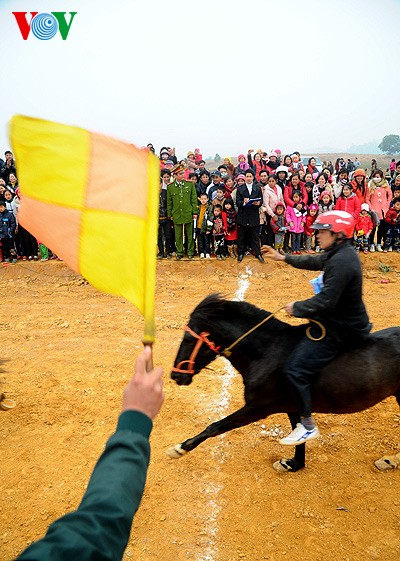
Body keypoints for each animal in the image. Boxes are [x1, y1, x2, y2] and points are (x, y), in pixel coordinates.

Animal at [167, 296, 400, 470]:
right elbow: (300, 433)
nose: (175, 376)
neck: (267, 352)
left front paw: (179, 448)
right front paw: (295, 464)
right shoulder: (293, 405)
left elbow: (215, 426)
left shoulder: (258, 407)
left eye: (189, 339)